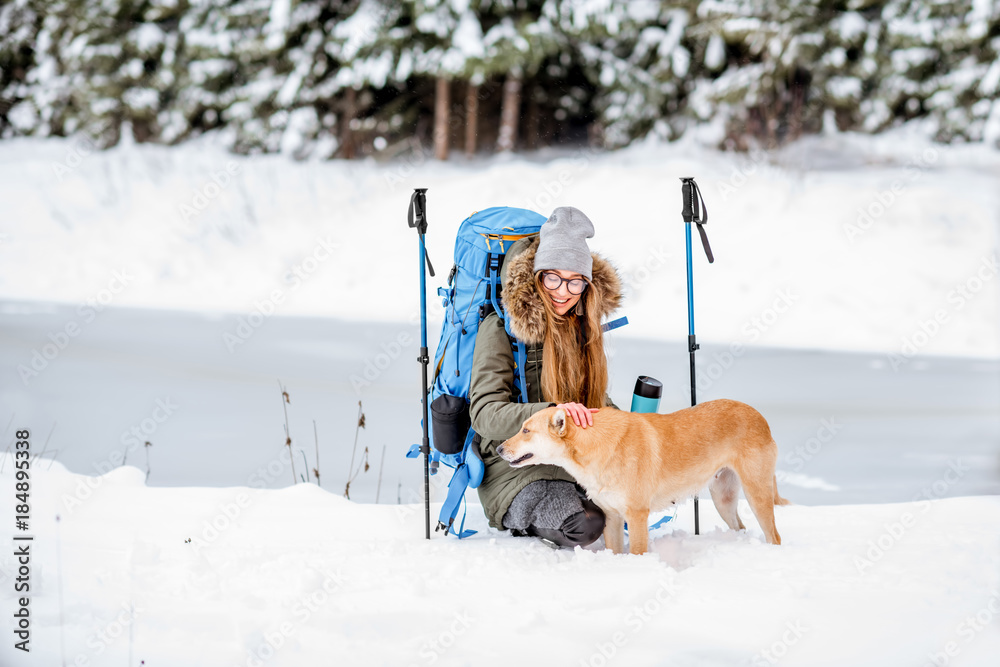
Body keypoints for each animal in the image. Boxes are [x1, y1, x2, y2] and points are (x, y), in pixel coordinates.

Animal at [494, 400, 788, 556]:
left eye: (526, 430)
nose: (498, 449)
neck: (599, 447)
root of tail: (759, 416)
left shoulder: (636, 516)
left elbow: (636, 550)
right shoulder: (612, 517)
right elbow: (614, 550)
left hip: (756, 494)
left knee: (774, 535)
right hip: (723, 499)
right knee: (740, 526)